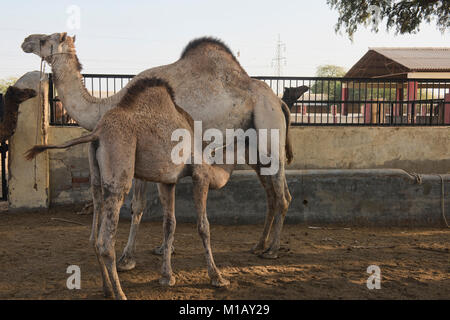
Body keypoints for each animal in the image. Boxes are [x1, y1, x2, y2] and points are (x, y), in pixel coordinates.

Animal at [27, 77, 232, 300]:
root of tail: (97, 133)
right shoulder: (200, 175)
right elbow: (203, 226)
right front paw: (217, 277)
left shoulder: (167, 181)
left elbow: (169, 224)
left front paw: (166, 276)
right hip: (120, 173)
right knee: (106, 242)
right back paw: (120, 293)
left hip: (96, 178)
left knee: (93, 235)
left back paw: (107, 289)